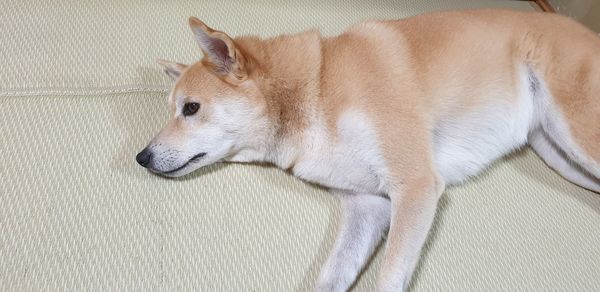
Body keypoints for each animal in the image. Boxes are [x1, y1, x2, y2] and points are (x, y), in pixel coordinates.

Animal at [136, 8, 600, 290]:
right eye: (173, 109)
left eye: (191, 108)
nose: (141, 158)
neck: (318, 86)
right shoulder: (368, 205)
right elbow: (331, 277)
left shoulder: (415, 185)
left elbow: (390, 276)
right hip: (559, 154)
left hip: (576, 135)